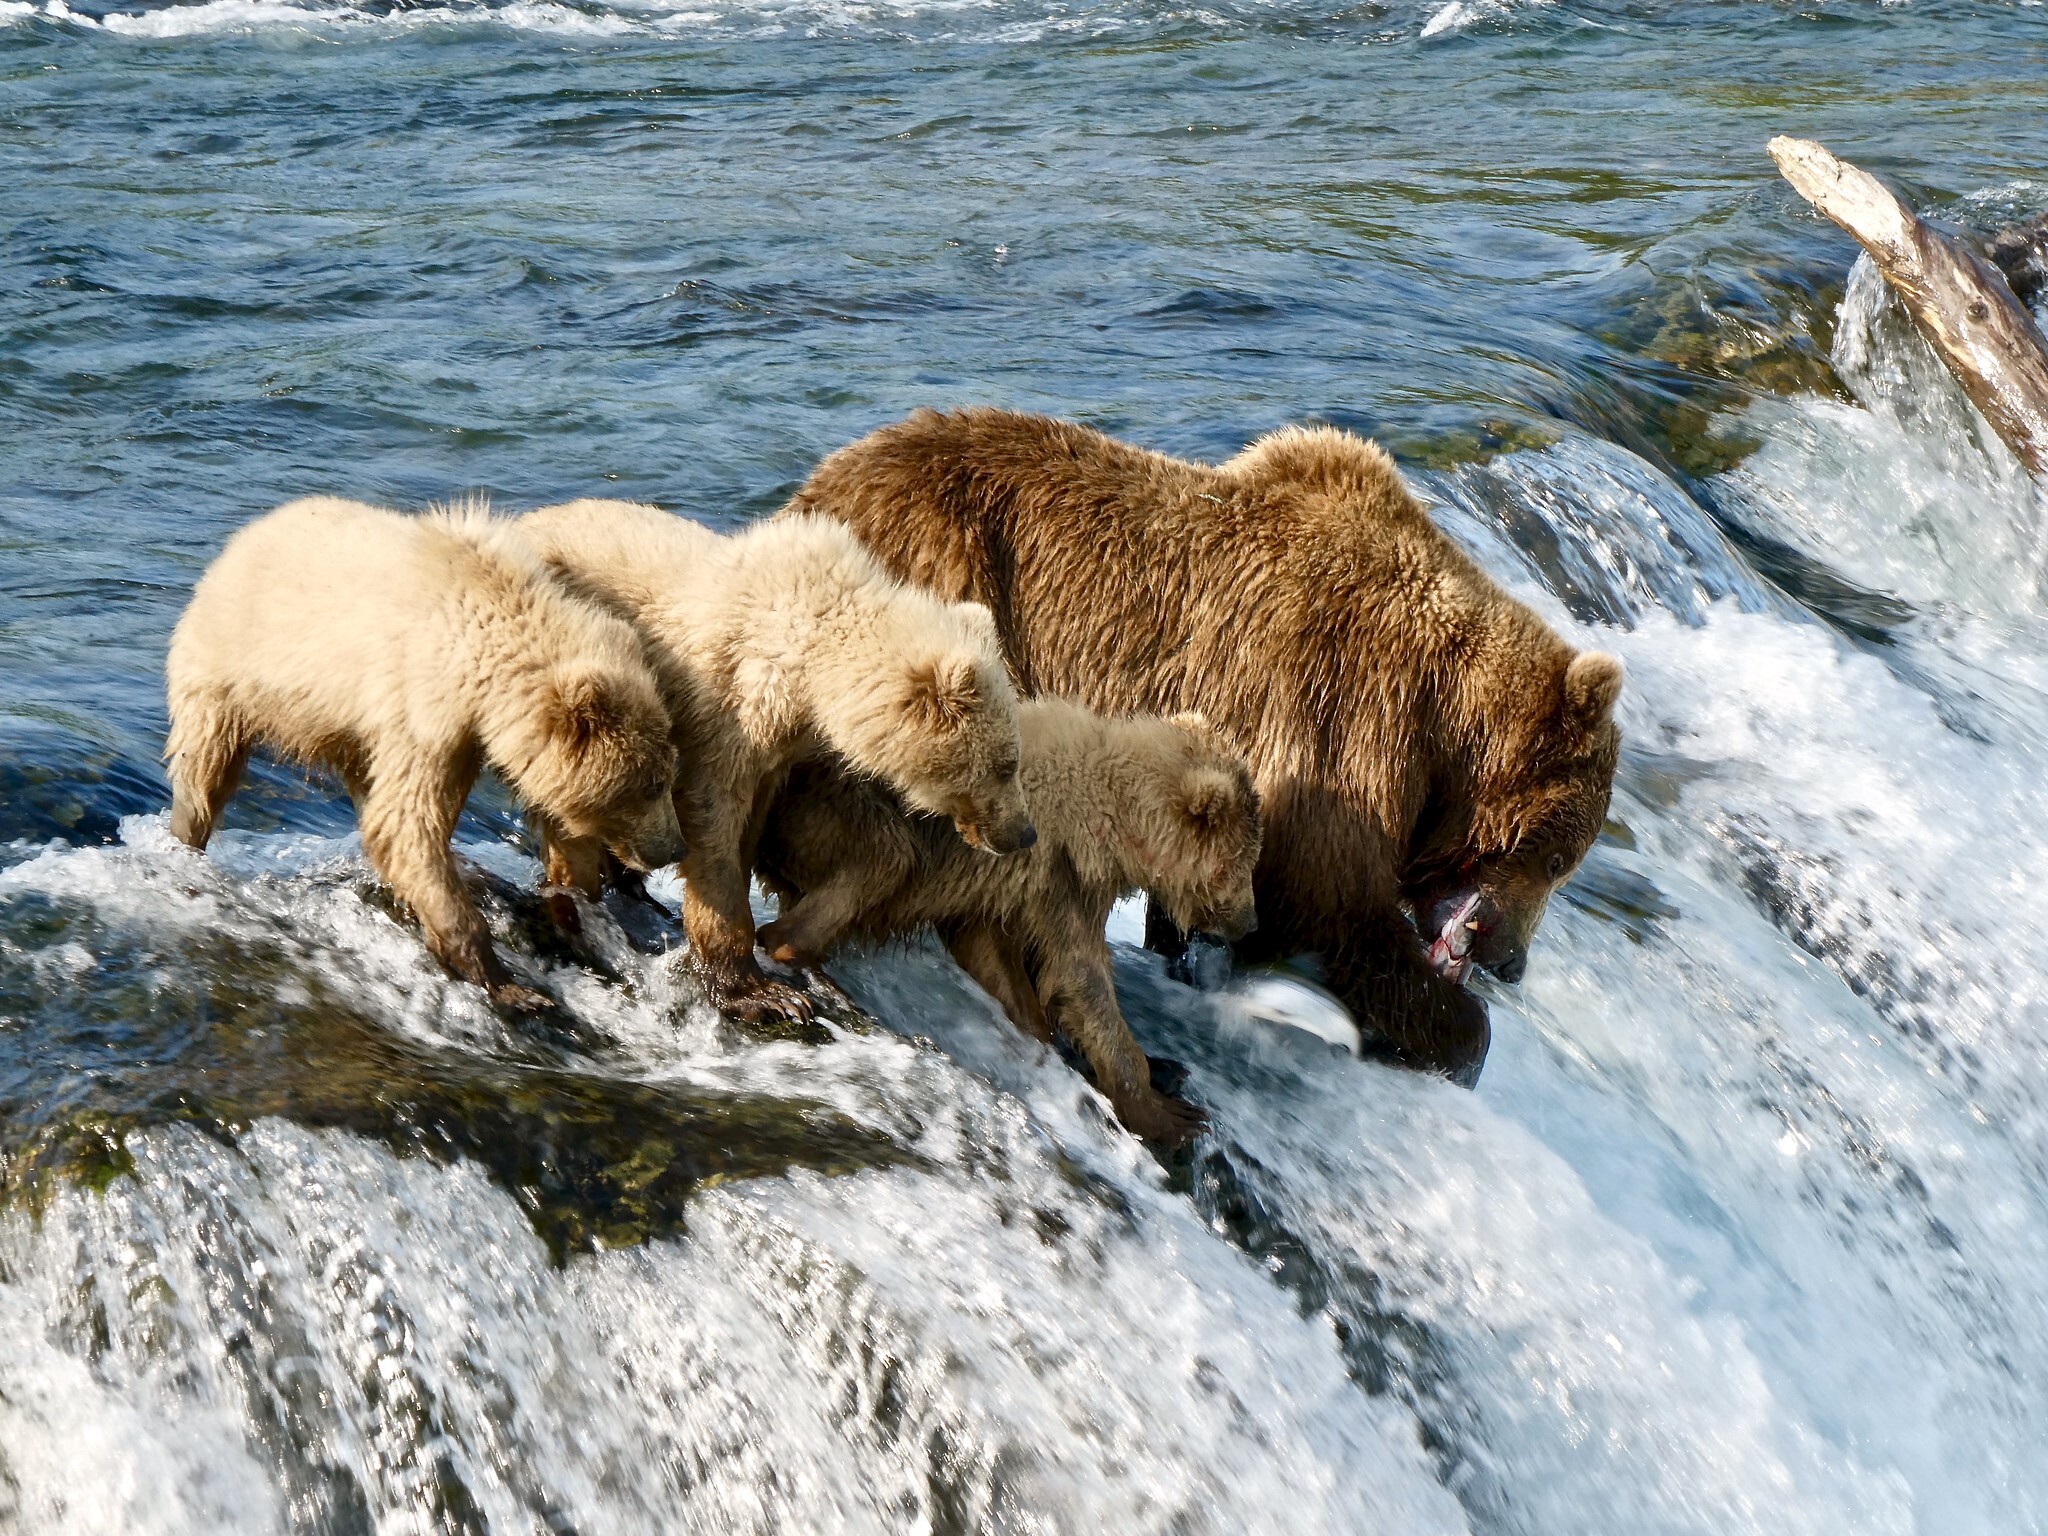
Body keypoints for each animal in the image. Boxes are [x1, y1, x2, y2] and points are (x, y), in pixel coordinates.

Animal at [164, 496, 686, 1011]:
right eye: (651, 784)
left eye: (667, 774)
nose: (675, 847)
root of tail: (243, 537)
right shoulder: (420, 703)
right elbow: (408, 822)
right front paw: (508, 982)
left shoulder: (461, 736)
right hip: (226, 673)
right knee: (206, 770)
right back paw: (186, 839)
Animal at [514, 499, 1035, 1026]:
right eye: (1006, 764)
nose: (1024, 833)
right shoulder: (724, 707)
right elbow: (712, 824)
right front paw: (760, 991)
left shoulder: (778, 749)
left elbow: (751, 823)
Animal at [753, 697, 1262, 1147]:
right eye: (1244, 863)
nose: (1250, 922)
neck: (1113, 820)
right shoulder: (1063, 873)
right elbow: (1080, 976)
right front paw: (1171, 1114)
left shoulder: (1008, 888)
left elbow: (997, 957)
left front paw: (1153, 1066)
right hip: (837, 807)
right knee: (884, 857)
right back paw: (795, 951)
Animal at [783, 408, 1624, 1085]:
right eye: (1559, 857)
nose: (1512, 962)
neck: (1447, 730)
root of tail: (814, 495)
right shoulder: (1348, 719)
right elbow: (1333, 900)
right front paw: (1450, 1035)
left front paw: (1188, 951)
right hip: (950, 601)